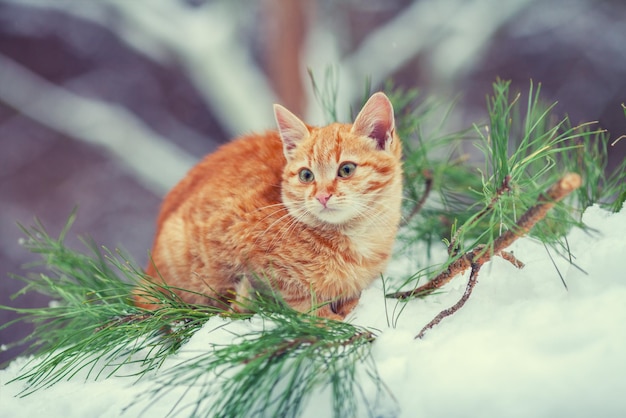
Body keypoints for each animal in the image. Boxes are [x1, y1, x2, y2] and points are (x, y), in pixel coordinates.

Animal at [134, 92, 402, 320]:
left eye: (346, 170)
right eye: (306, 175)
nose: (322, 196)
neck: (356, 238)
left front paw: (349, 306)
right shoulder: (237, 235)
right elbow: (299, 296)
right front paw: (327, 318)